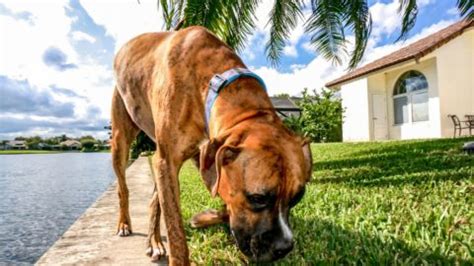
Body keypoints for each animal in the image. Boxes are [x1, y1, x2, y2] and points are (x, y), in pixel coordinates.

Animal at [109, 26, 312, 264]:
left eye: (298, 196)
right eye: (257, 198)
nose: (285, 248)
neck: (213, 83)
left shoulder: (206, 159)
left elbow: (223, 208)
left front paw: (204, 218)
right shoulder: (169, 162)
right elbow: (176, 231)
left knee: (155, 199)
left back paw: (155, 241)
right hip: (121, 142)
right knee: (123, 189)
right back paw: (125, 224)